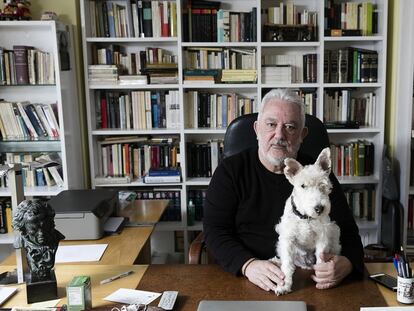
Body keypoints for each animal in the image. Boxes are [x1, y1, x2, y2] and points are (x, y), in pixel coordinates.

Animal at [270, 147, 342, 296]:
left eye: (323, 184)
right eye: (303, 186)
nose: (319, 208)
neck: (305, 217)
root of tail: (306, 263)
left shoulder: (322, 237)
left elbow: (321, 261)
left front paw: (323, 279)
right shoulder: (287, 239)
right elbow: (287, 265)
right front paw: (284, 286)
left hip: (334, 232)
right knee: (288, 262)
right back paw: (275, 261)